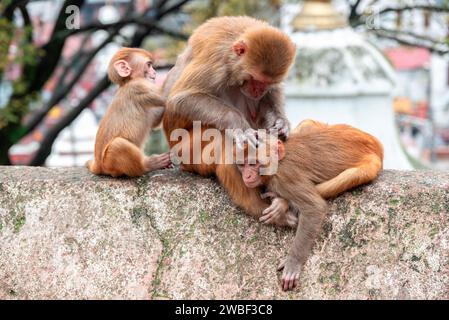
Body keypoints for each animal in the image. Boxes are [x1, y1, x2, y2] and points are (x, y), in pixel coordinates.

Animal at [86, 47, 171, 178]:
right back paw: (148, 165)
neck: (128, 81)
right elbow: (164, 96)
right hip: (109, 164)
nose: (155, 72)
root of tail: (98, 166)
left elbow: (155, 121)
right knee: (118, 145)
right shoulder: (138, 87)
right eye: (149, 65)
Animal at [238, 119, 382, 290]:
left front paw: (293, 262)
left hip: (371, 163)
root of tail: (374, 142)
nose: (246, 176)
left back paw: (283, 203)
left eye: (253, 164)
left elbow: (315, 208)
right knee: (308, 123)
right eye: (242, 165)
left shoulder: (285, 177)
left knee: (352, 176)